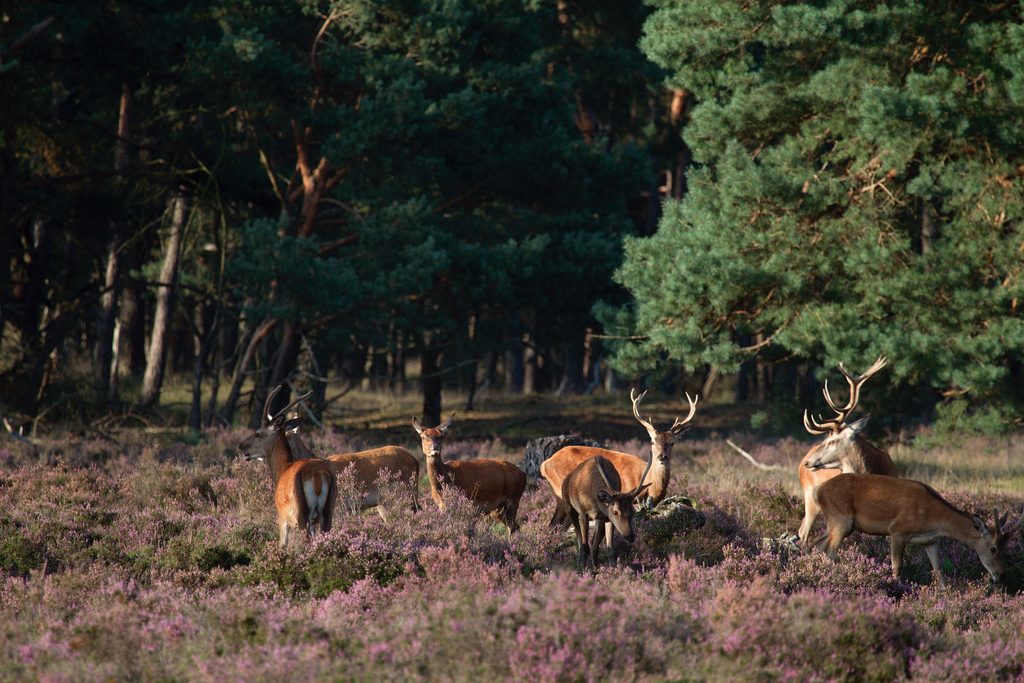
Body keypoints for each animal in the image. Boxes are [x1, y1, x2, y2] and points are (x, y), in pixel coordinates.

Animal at [237, 387, 337, 548]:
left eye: (257, 433)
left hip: (301, 514)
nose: (241, 446)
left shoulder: (282, 516)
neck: (282, 469)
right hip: (328, 511)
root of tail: (318, 476)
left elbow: (283, 545)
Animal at [536, 387, 696, 528]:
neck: (652, 486)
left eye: (672, 443)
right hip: (564, 491)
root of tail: (544, 464)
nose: (662, 456)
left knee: (554, 524)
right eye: (652, 441)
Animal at [811, 473, 1019, 585]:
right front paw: (897, 589)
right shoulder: (898, 531)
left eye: (1006, 547)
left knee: (818, 545)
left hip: (835, 522)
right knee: (830, 551)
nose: (1002, 574)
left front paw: (944, 593)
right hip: (841, 519)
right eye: (993, 548)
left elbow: (938, 569)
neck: (934, 520)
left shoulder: (931, 540)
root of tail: (819, 491)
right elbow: (897, 566)